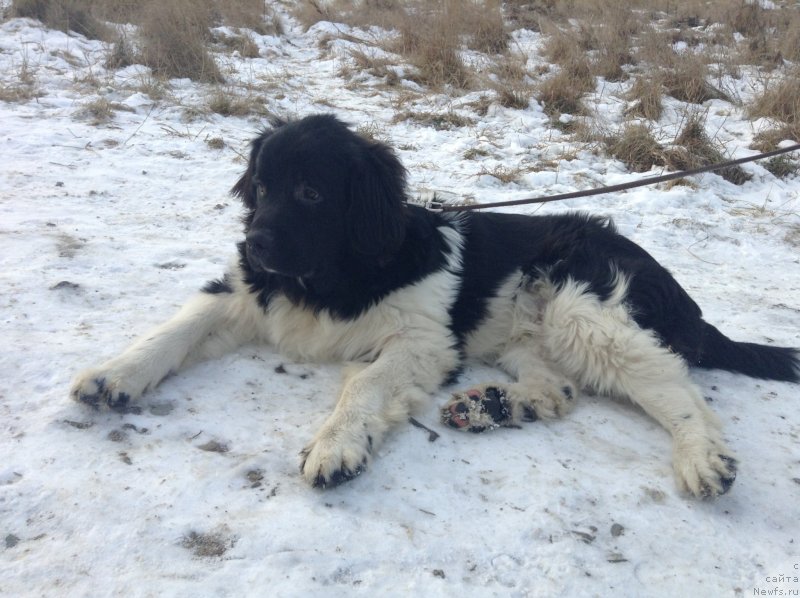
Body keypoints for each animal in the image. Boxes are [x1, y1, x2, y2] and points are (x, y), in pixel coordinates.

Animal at [70, 115, 800, 500]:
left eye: (310, 192)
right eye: (264, 185)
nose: (254, 242)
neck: (328, 276)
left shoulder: (421, 340)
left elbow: (363, 385)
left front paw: (337, 446)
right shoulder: (249, 294)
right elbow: (176, 328)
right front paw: (112, 377)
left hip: (588, 306)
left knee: (678, 388)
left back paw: (704, 459)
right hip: (522, 335)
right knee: (561, 389)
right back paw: (494, 406)